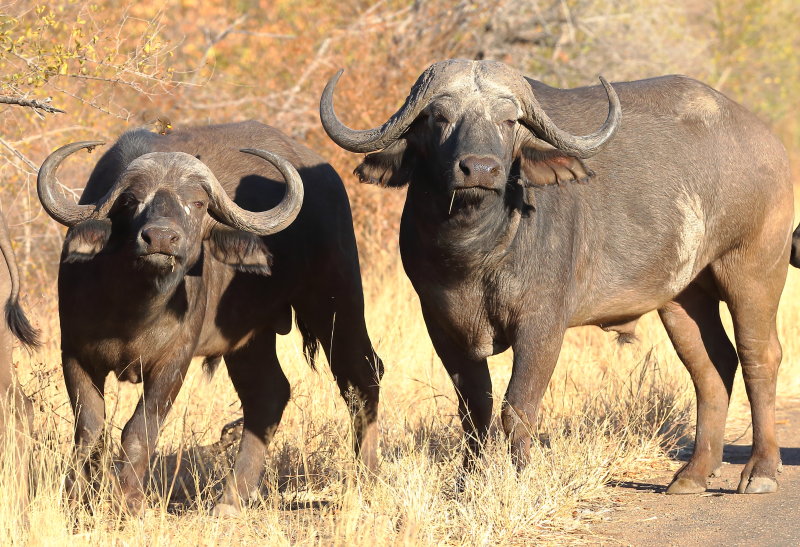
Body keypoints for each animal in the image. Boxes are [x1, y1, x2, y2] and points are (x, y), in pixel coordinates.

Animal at [36, 121, 384, 520]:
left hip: (335, 299)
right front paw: (75, 501)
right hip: (250, 337)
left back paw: (366, 479)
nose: (161, 238)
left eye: (199, 204)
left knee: (361, 376)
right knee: (268, 394)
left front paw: (130, 503)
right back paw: (232, 499)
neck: (131, 307)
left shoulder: (174, 360)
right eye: (131, 200)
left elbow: (139, 431)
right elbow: (89, 433)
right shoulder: (75, 354)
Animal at [320, 60, 792, 496]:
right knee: (713, 365)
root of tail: (768, 143)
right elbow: (474, 408)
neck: (475, 250)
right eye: (440, 117)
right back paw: (692, 474)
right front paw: (466, 483)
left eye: (509, 120)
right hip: (683, 295)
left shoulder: (542, 324)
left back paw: (760, 472)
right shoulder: (442, 325)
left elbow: (517, 407)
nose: (480, 169)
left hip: (754, 271)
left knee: (759, 356)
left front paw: (520, 481)